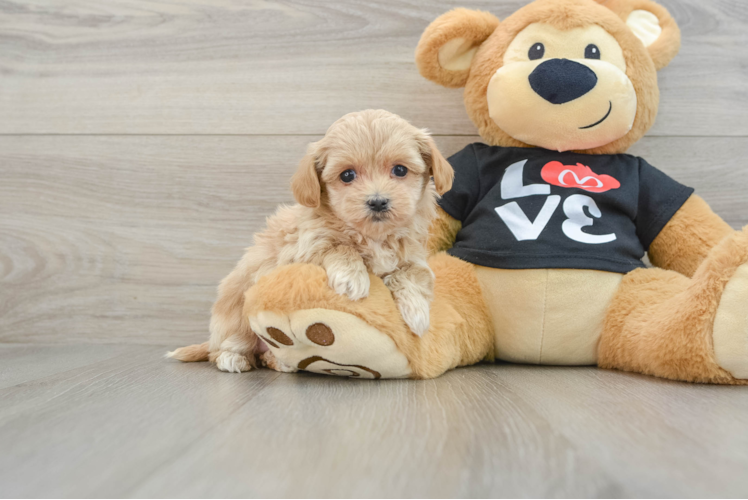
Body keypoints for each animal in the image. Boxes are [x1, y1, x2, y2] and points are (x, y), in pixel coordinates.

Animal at [167, 110, 452, 376]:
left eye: (400, 170)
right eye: (347, 175)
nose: (378, 201)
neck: (372, 235)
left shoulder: (414, 256)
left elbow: (415, 273)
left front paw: (417, 313)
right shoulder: (300, 250)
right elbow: (339, 246)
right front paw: (352, 278)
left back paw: (280, 362)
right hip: (234, 315)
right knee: (226, 348)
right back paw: (233, 358)